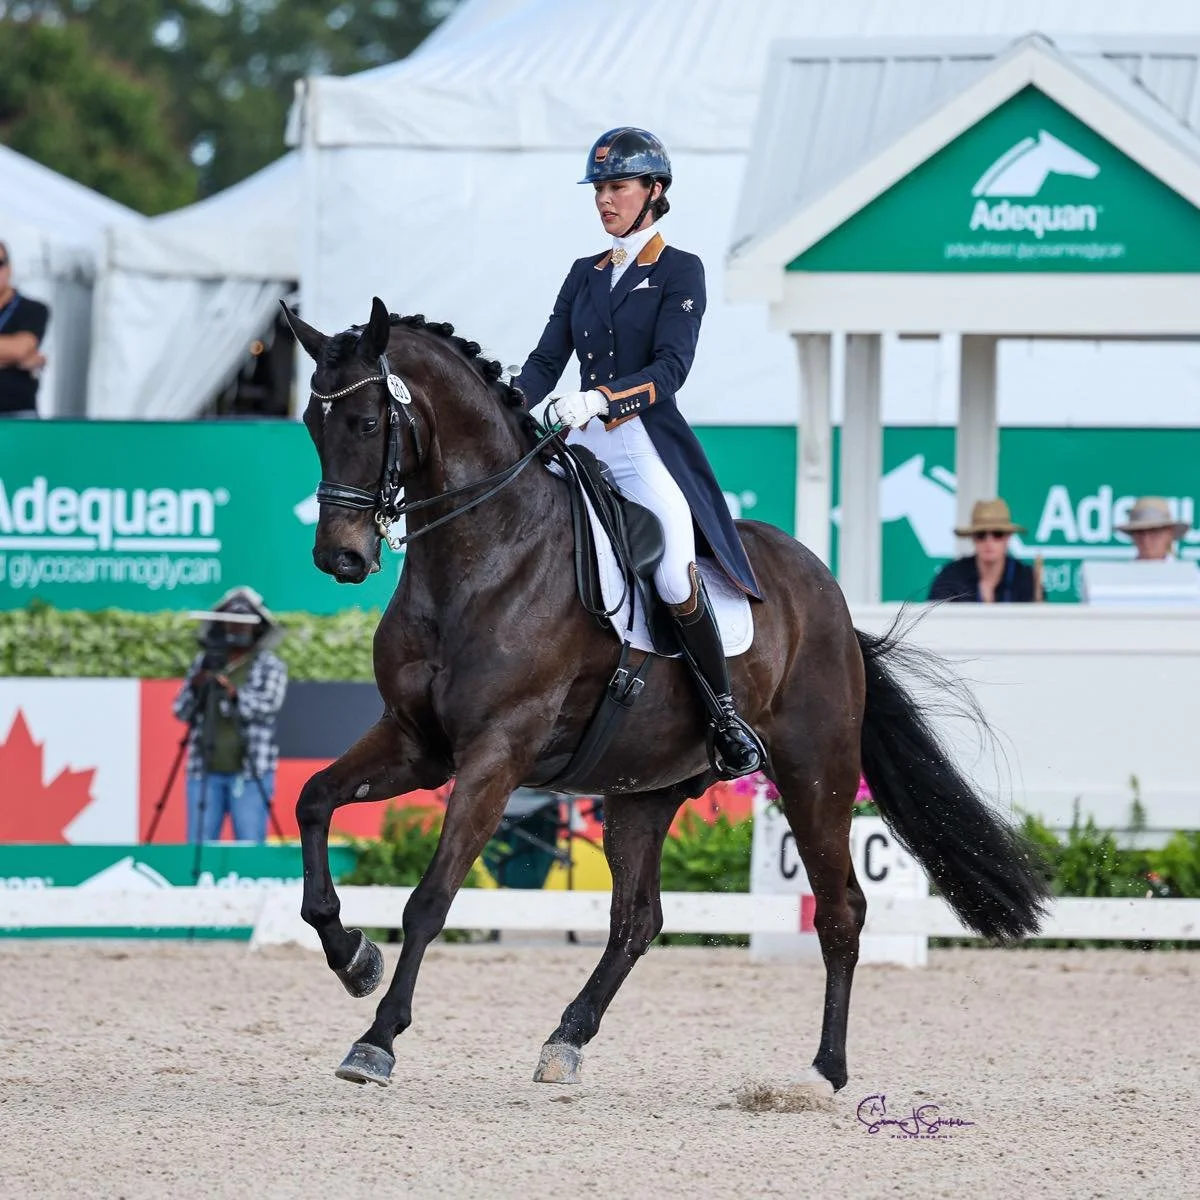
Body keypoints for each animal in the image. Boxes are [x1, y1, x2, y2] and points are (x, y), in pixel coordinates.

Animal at [281, 297, 1050, 1094]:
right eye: (311, 422)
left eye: (367, 423)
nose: (341, 557)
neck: (484, 555)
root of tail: (829, 595)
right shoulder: (416, 741)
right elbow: (313, 800)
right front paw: (352, 958)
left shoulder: (496, 752)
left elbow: (431, 897)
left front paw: (376, 1040)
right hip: (642, 790)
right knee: (637, 919)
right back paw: (566, 1040)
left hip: (817, 772)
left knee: (840, 910)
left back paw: (823, 1072)